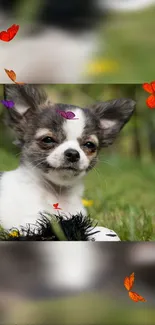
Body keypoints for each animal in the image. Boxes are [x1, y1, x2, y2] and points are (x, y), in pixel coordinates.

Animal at [0, 85, 136, 239]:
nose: (73, 153)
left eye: (89, 145)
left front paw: (106, 234)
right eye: (48, 139)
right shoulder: (27, 223)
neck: (57, 193)